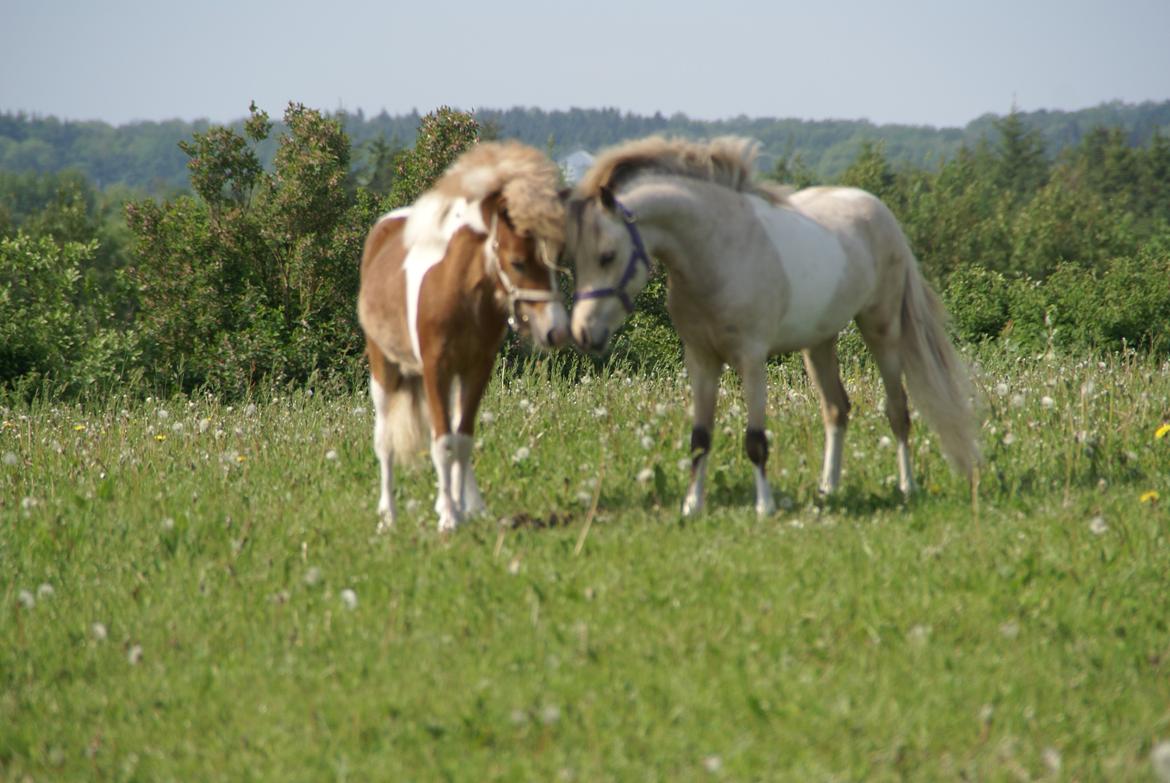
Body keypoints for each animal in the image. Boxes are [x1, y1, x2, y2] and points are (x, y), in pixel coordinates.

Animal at [360, 142, 570, 531]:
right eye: (517, 262)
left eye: (555, 259)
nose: (556, 330)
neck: (458, 291)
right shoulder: (435, 369)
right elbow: (442, 443)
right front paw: (448, 519)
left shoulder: (475, 369)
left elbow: (462, 439)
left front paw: (457, 508)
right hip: (385, 370)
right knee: (385, 441)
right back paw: (388, 517)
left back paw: (468, 505)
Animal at [566, 135, 978, 512]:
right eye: (576, 259)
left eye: (607, 255)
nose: (583, 334)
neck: (718, 251)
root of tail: (881, 213)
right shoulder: (701, 359)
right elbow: (700, 438)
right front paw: (692, 506)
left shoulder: (751, 359)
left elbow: (755, 440)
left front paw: (764, 508)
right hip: (819, 342)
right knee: (837, 410)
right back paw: (828, 489)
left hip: (882, 329)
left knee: (898, 411)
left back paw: (907, 487)